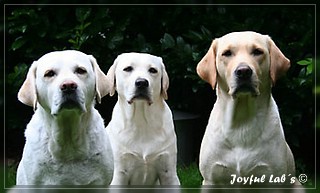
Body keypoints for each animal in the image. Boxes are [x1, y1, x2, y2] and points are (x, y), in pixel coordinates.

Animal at [105, 52, 180, 185]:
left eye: (153, 70)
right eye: (128, 69)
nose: (141, 82)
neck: (141, 120)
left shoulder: (169, 173)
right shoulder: (119, 174)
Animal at [196, 31, 298, 185]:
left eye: (257, 52)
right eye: (227, 53)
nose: (243, 71)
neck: (241, 121)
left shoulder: (273, 179)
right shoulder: (210, 180)